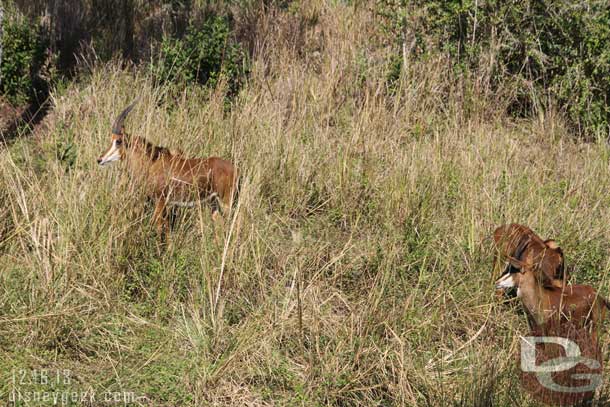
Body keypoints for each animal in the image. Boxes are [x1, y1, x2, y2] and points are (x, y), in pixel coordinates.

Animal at [97, 100, 238, 237]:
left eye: (118, 141)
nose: (100, 159)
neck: (151, 163)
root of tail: (234, 169)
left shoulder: (161, 201)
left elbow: (160, 228)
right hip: (214, 204)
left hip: (226, 202)